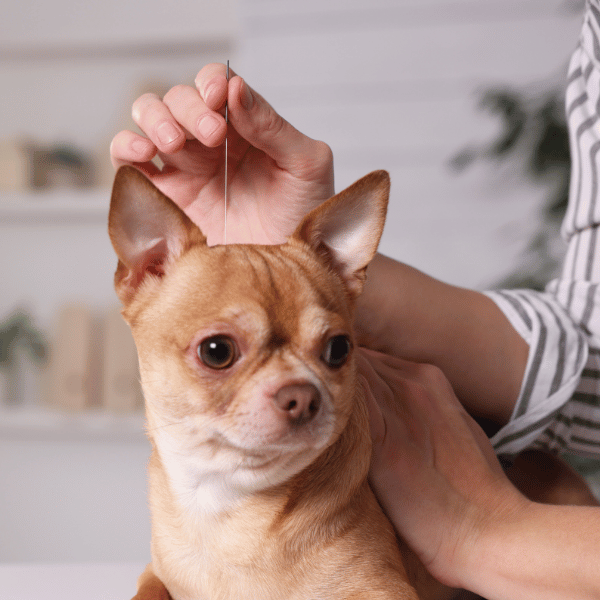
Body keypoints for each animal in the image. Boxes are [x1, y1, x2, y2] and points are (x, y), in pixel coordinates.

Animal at [108, 166, 432, 600]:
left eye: (339, 349)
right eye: (216, 351)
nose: (303, 396)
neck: (226, 501)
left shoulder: (384, 589)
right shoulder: (155, 573)